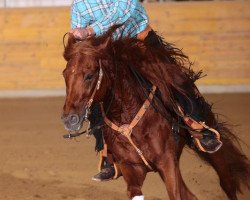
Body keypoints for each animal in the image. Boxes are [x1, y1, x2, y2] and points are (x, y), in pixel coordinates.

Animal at [61, 31, 249, 200]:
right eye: (65, 74)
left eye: (89, 75)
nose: (69, 119)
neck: (128, 118)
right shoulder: (131, 168)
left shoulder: (167, 162)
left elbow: (175, 195)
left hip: (209, 145)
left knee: (226, 179)